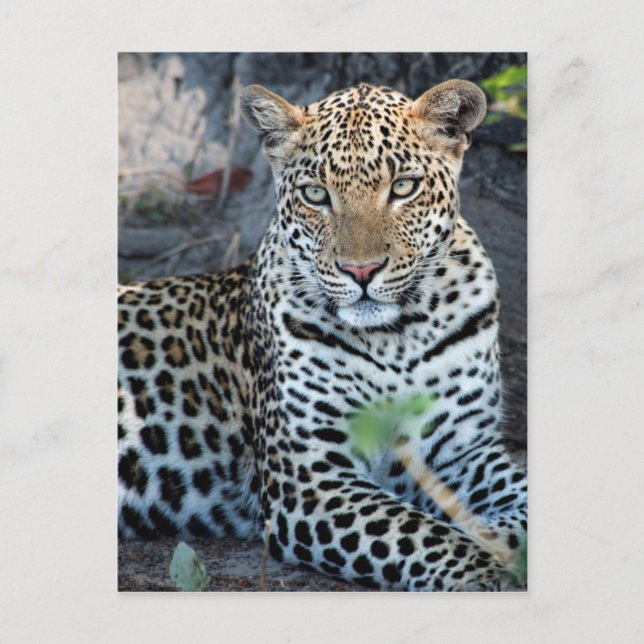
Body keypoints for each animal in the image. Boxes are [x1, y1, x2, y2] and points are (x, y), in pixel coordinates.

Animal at [118, 79, 527, 591]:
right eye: (316, 194)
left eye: (403, 187)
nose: (361, 271)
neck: (398, 336)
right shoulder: (308, 477)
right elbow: (418, 531)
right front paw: (483, 572)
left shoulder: (463, 447)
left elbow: (520, 502)